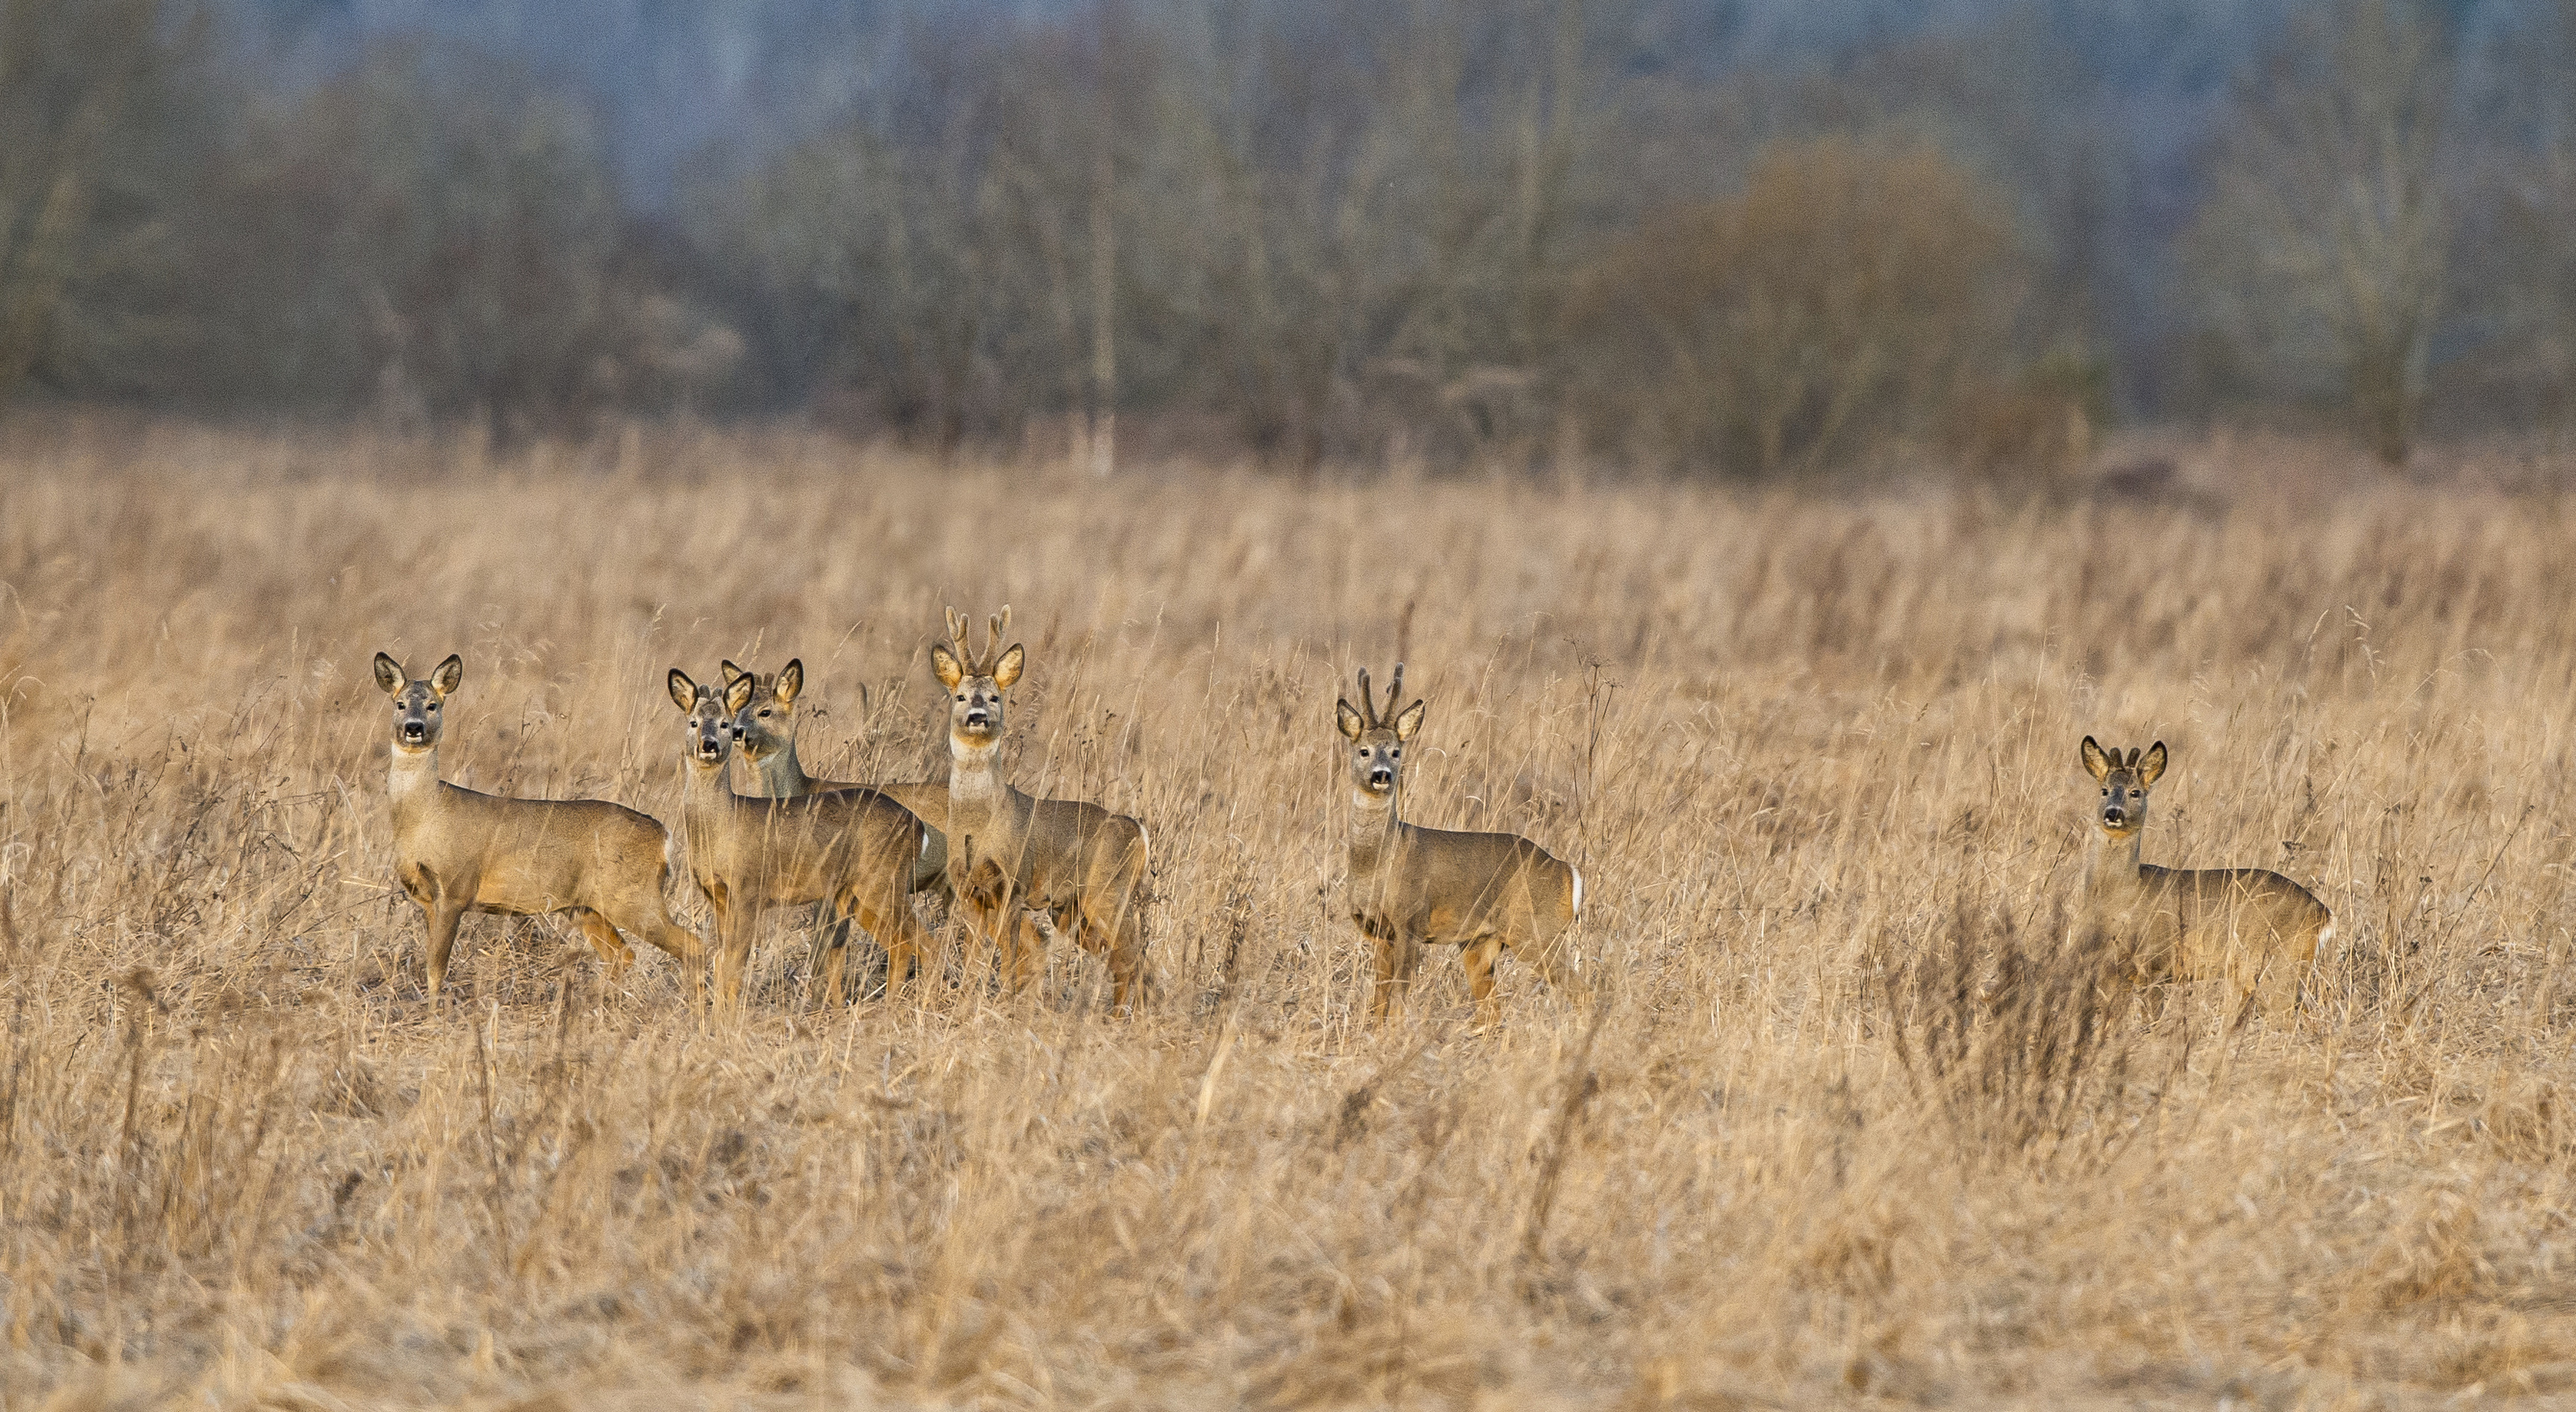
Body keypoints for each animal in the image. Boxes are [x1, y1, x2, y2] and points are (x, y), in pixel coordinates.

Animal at [368, 654, 701, 999]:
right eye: (400, 704)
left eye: (432, 705)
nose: (414, 728)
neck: (425, 816)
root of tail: (663, 835)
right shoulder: (427, 899)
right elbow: (430, 964)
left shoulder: (455, 888)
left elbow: (436, 970)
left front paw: (435, 1010)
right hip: (587, 907)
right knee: (623, 954)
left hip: (633, 896)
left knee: (691, 945)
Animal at [670, 670, 943, 1010]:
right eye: (693, 722)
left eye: (724, 723)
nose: (708, 745)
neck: (723, 825)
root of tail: (917, 826)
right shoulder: (717, 897)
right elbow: (721, 961)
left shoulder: (749, 891)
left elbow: (734, 964)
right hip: (859, 894)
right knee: (903, 945)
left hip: (882, 881)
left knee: (928, 945)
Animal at [927, 603, 1149, 1004]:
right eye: (960, 697)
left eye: (995, 697)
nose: (978, 717)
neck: (978, 826)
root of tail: (1139, 830)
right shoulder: (966, 891)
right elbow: (973, 960)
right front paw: (966, 1003)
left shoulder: (1014, 885)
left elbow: (1009, 960)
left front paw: (1003, 1004)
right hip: (1073, 911)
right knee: (1127, 964)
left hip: (1109, 893)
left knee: (1136, 961)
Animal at [1340, 659, 1577, 1025]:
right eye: (1364, 750)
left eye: (1395, 751)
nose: (1382, 775)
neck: (1380, 860)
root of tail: (1567, 872)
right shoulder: (1377, 931)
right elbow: (1378, 1000)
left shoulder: (1410, 921)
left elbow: (1398, 999)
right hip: (1481, 943)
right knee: (1493, 1012)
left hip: (1538, 930)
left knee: (1585, 989)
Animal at [2071, 737, 2339, 1015]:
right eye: (2104, 790)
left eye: (2136, 792)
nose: (2113, 813)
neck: (2123, 894)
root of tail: (2323, 912)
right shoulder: (2115, 973)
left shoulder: (2156, 964)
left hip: (2279, 966)